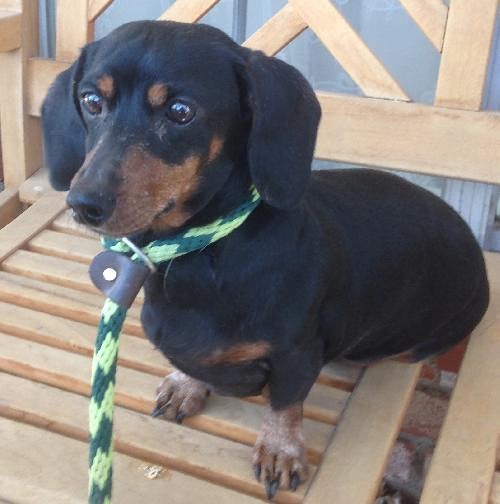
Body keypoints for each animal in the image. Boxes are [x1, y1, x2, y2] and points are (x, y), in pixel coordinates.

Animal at [41, 20, 489, 499]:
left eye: (180, 111)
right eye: (92, 101)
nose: (83, 204)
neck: (200, 253)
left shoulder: (297, 355)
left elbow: (285, 403)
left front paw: (280, 450)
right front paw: (186, 386)